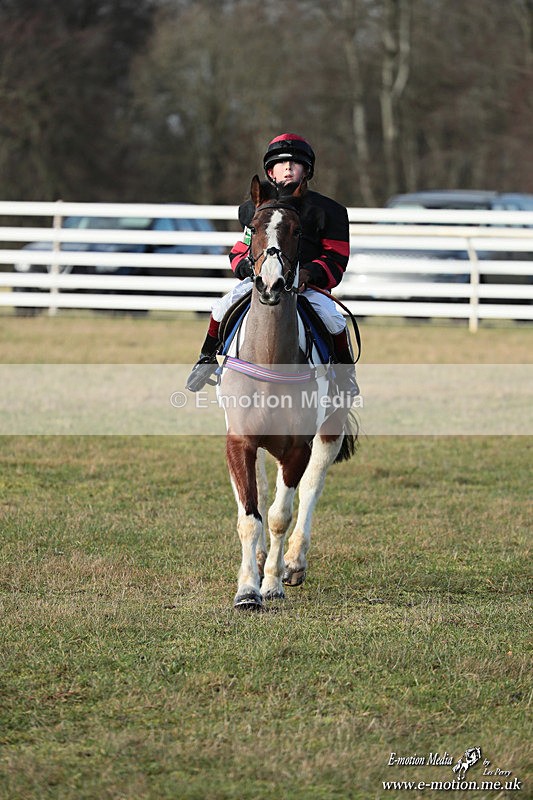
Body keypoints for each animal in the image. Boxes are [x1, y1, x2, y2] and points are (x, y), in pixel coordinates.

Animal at [218, 175, 358, 610]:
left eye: (297, 230)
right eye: (254, 228)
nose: (270, 282)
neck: (269, 361)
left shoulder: (298, 446)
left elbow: (282, 514)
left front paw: (272, 585)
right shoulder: (240, 441)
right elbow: (250, 516)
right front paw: (248, 589)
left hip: (329, 432)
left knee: (311, 487)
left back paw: (293, 562)